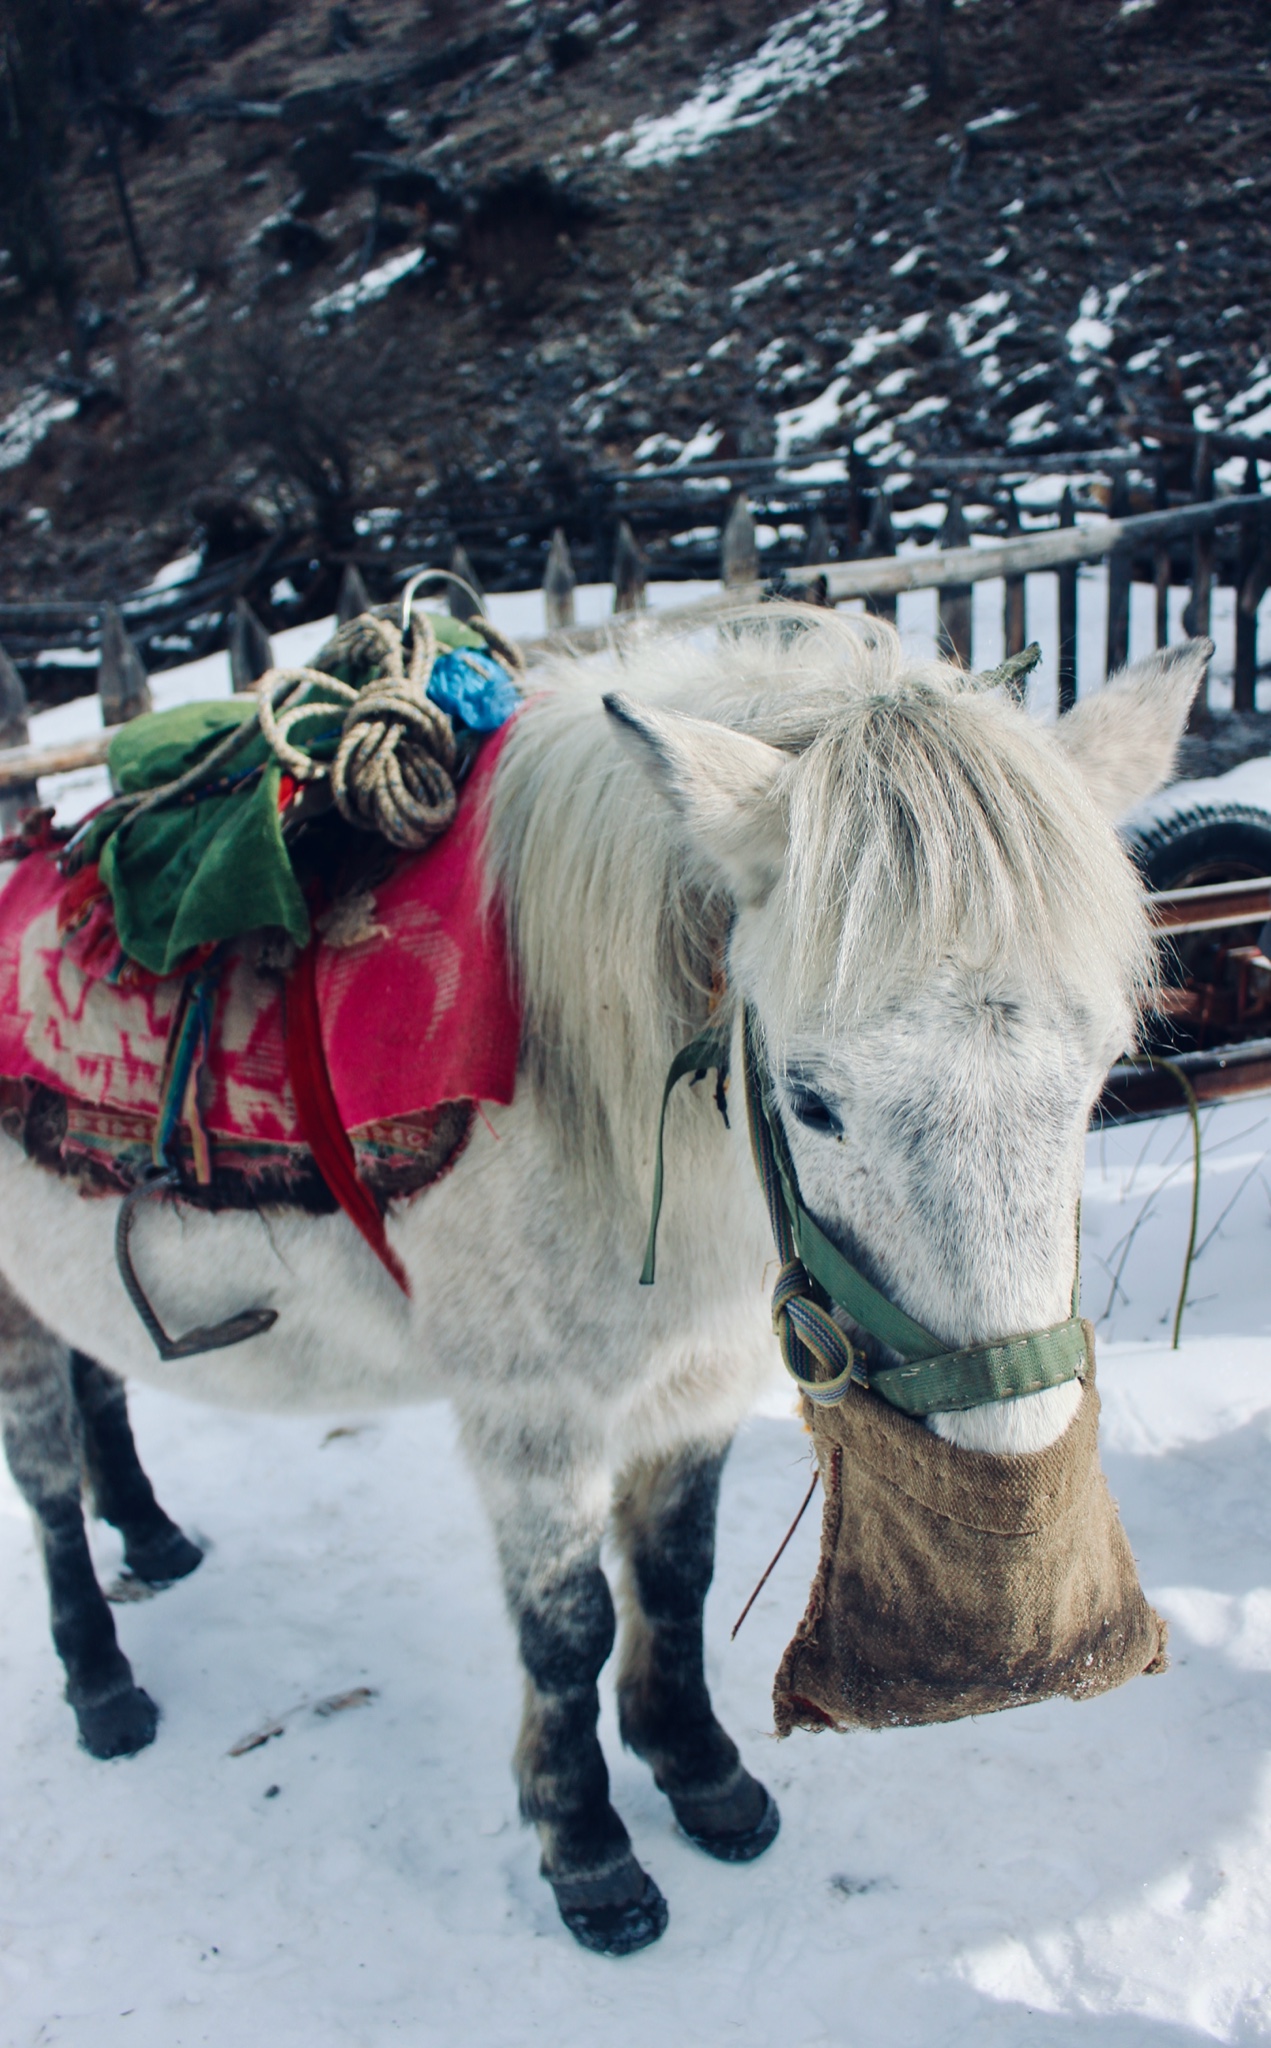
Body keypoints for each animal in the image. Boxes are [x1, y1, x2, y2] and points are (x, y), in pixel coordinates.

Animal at [0, 610, 1203, 1949]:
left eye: (1100, 1072)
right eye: (810, 1097)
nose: (1014, 1615)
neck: (584, 1096)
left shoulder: (693, 1386)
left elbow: (674, 1579)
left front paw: (698, 1768)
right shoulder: (533, 1417)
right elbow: (566, 1626)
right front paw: (585, 1846)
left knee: (101, 1385)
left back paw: (154, 1536)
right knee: (46, 1479)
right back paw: (101, 1680)